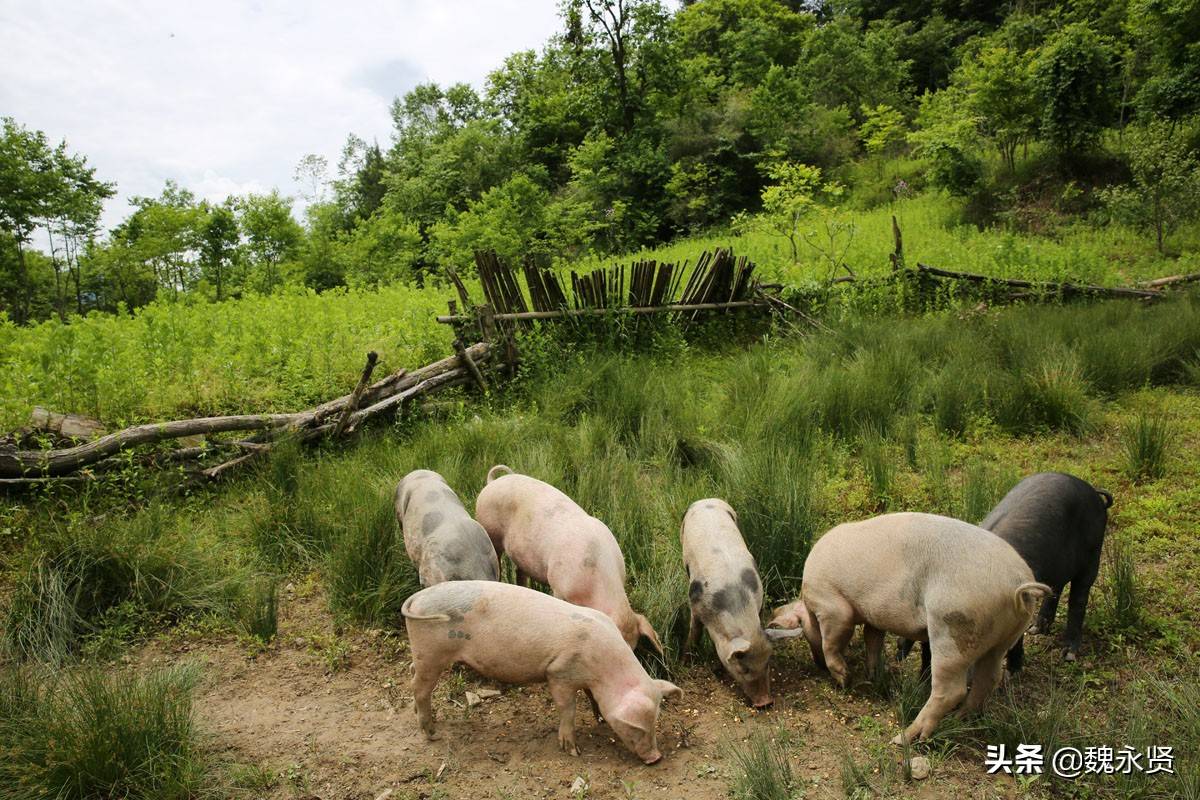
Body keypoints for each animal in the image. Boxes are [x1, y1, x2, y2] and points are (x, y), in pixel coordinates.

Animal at [403, 578, 686, 762]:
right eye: (637, 728)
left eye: (656, 721)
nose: (656, 757)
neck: (602, 669)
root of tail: (417, 598)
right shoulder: (558, 673)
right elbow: (568, 708)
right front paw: (573, 751)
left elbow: (592, 699)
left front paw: (600, 719)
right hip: (431, 652)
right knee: (419, 688)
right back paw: (431, 733)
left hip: (422, 653)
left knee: (413, 678)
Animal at [681, 496, 772, 710]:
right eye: (744, 669)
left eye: (766, 664)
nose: (765, 702)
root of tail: (705, 500)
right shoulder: (695, 606)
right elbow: (694, 633)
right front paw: (685, 662)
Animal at [768, 513, 1051, 743]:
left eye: (805, 634)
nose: (815, 664)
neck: (809, 601)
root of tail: (1017, 585)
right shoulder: (874, 616)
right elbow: (872, 639)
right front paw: (873, 675)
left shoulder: (833, 607)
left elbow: (833, 641)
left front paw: (844, 679)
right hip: (1004, 637)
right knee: (988, 679)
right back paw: (960, 718)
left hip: (952, 629)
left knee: (951, 690)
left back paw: (904, 738)